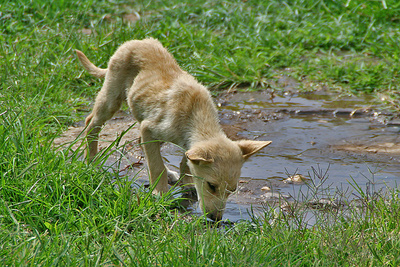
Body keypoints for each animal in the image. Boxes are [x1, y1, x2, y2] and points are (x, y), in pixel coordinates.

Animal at [74, 38, 270, 222]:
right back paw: (90, 160)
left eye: (232, 189)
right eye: (211, 186)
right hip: (112, 96)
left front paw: (186, 183)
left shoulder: (186, 143)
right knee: (91, 123)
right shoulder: (149, 128)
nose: (216, 219)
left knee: (140, 143)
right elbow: (156, 165)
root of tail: (136, 41)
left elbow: (185, 160)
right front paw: (159, 193)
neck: (196, 114)